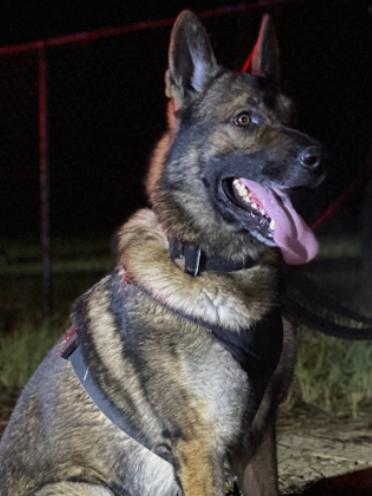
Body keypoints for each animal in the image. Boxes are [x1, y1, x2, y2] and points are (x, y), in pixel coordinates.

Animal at [0, 10, 326, 496]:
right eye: (244, 119)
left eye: (292, 117)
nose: (321, 158)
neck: (217, 268)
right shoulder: (199, 448)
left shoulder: (260, 435)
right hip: (88, 487)